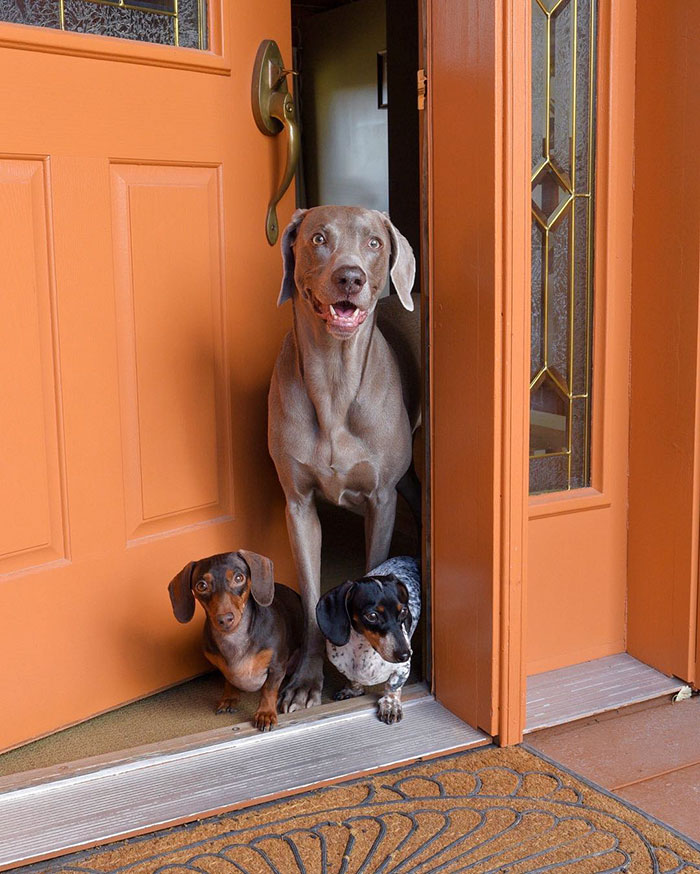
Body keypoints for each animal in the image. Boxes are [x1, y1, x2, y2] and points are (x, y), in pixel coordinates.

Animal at [268, 204, 422, 708]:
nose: (350, 277)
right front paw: (306, 681)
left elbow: (376, 567)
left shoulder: (381, 498)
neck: (334, 383)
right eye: (318, 238)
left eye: (374, 242)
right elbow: (313, 597)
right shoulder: (298, 505)